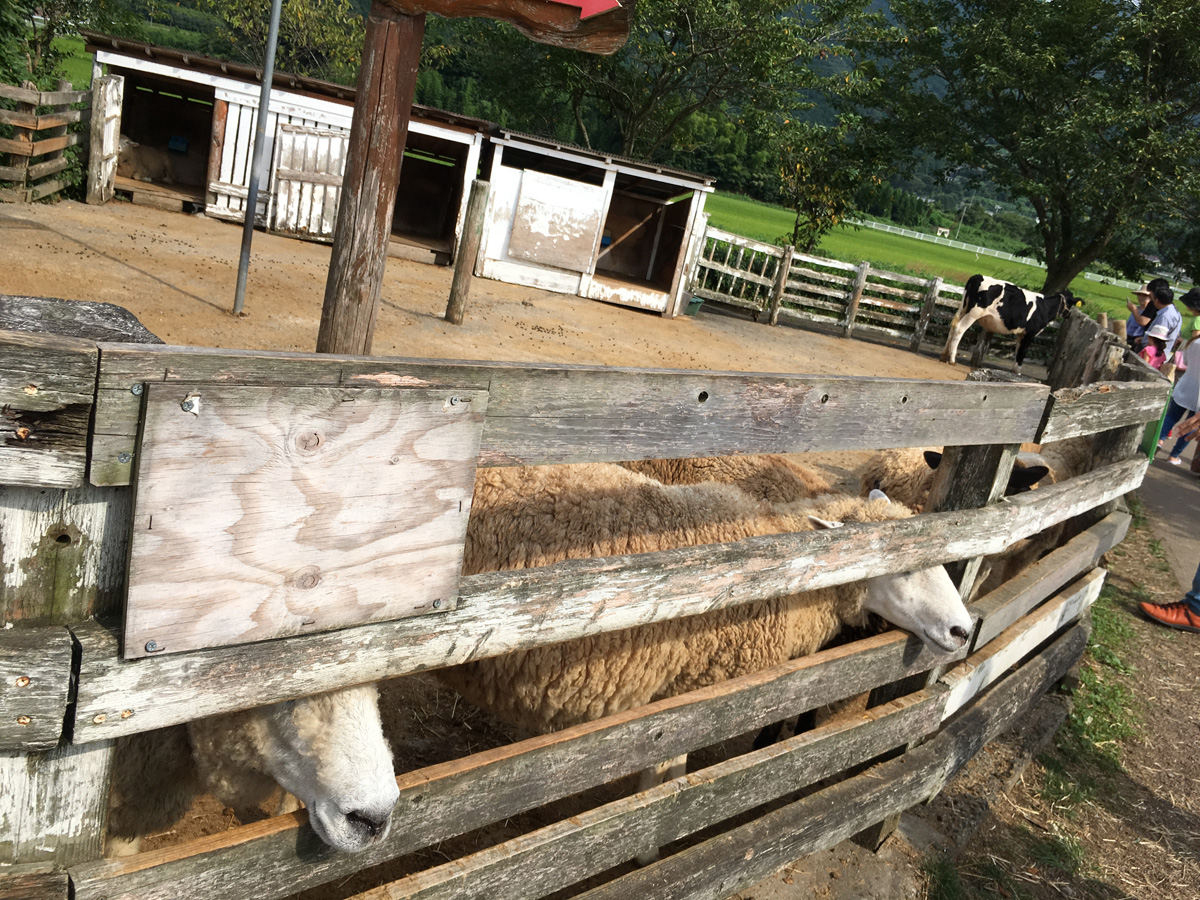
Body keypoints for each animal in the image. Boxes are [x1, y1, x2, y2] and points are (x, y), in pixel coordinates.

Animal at [940, 274, 1078, 374]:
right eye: (1071, 303)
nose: (1069, 314)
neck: (1045, 307)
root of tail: (978, 276)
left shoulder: (1021, 334)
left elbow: (1018, 350)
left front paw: (1014, 370)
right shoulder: (1030, 333)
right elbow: (1023, 351)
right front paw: (1018, 372)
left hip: (963, 308)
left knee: (953, 326)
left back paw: (944, 356)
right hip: (974, 313)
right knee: (960, 329)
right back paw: (952, 359)